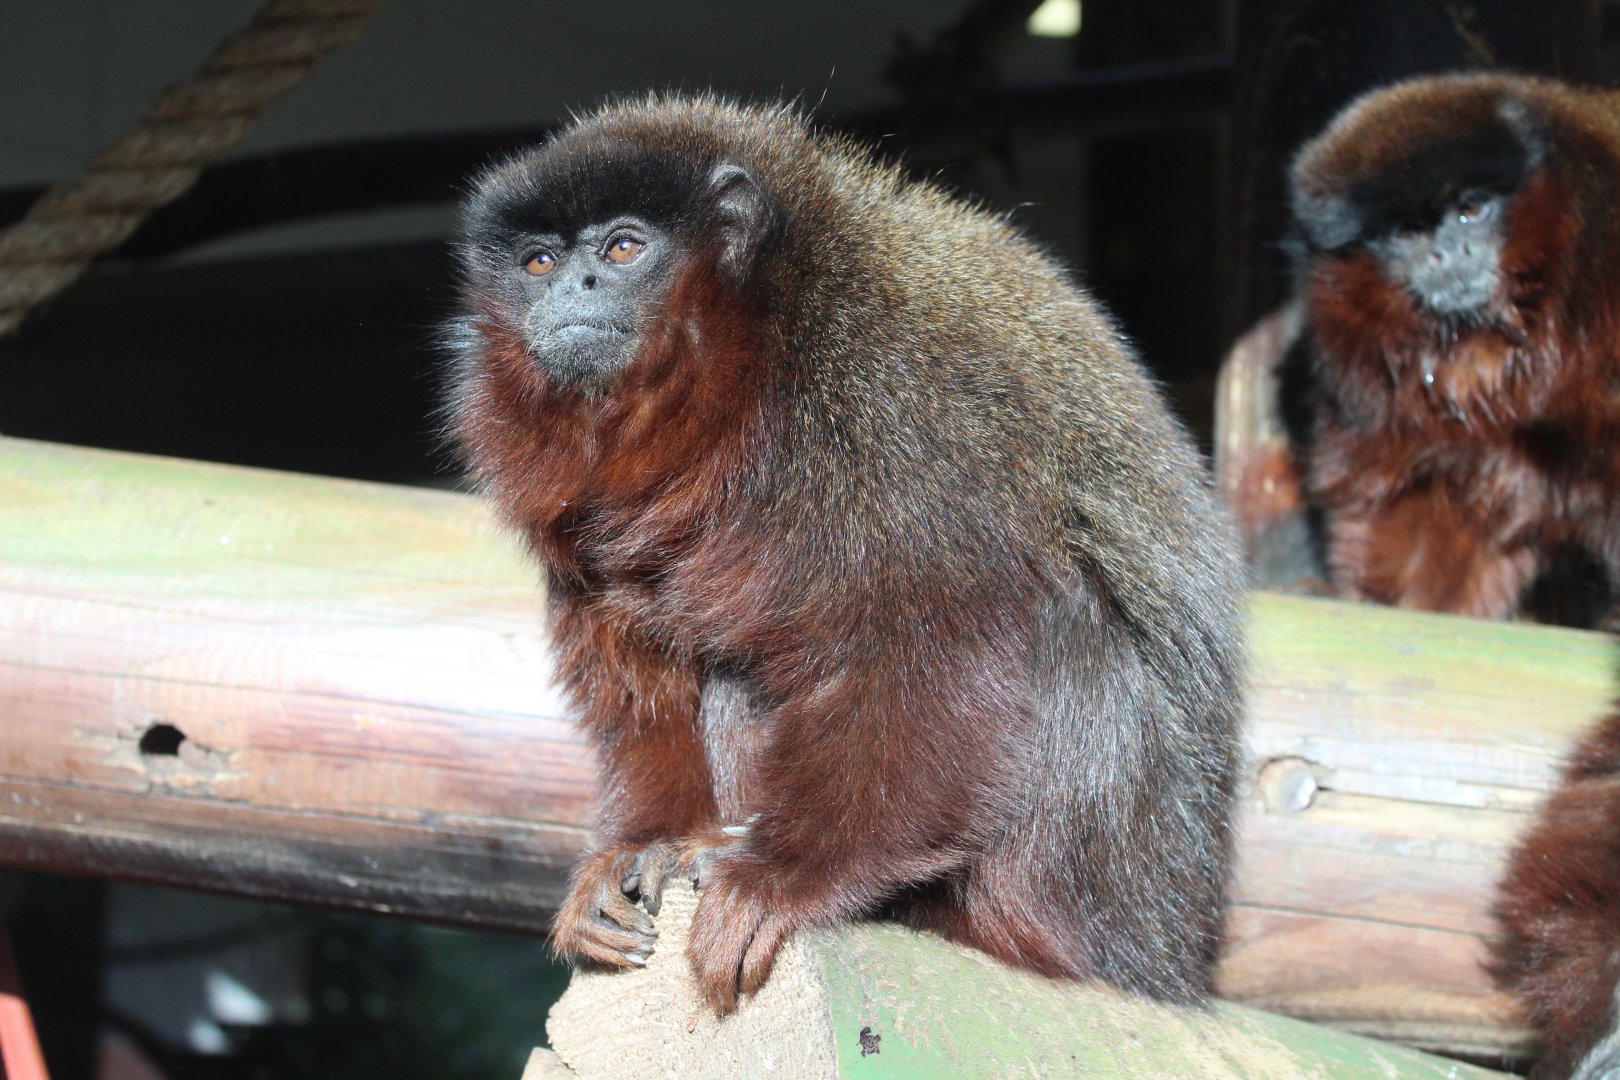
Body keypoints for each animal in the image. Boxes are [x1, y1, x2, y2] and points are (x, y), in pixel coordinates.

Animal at [444, 94, 1244, 1014]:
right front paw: (640, 848)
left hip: (1107, 890)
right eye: (538, 260)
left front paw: (781, 880)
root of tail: (1178, 958)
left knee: (1065, 620)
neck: (757, 372)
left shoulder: (895, 397)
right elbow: (644, 668)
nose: (572, 287)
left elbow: (949, 645)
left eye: (622, 248)